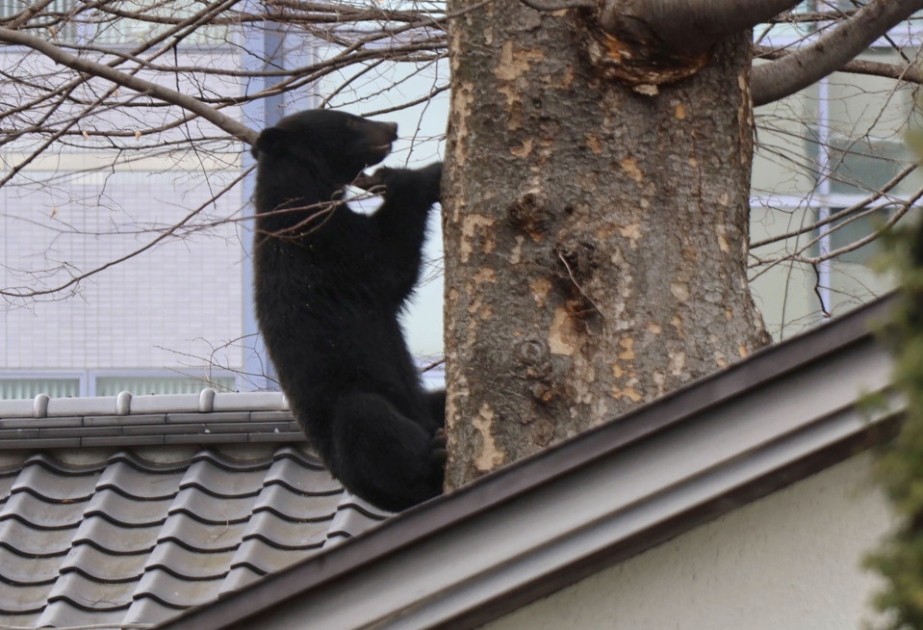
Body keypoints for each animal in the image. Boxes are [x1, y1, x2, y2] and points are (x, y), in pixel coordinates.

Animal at [251, 108, 446, 513]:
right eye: (350, 121)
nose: (392, 127)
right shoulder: (324, 248)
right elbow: (387, 261)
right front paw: (420, 175)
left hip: (421, 405)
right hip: (350, 417)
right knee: (367, 422)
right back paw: (434, 456)